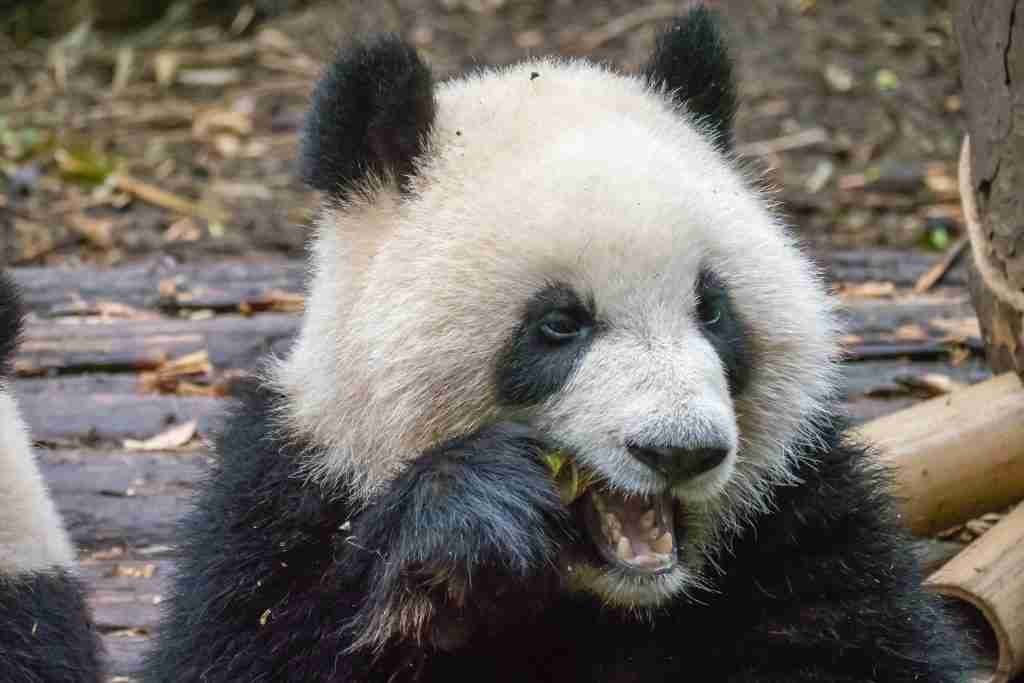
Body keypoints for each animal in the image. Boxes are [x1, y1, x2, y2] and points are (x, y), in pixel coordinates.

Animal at [140, 7, 978, 679]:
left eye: (712, 309)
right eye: (559, 324)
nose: (680, 450)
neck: (612, 599)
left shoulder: (801, 511)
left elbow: (874, 643)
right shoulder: (293, 491)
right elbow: (249, 641)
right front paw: (469, 521)